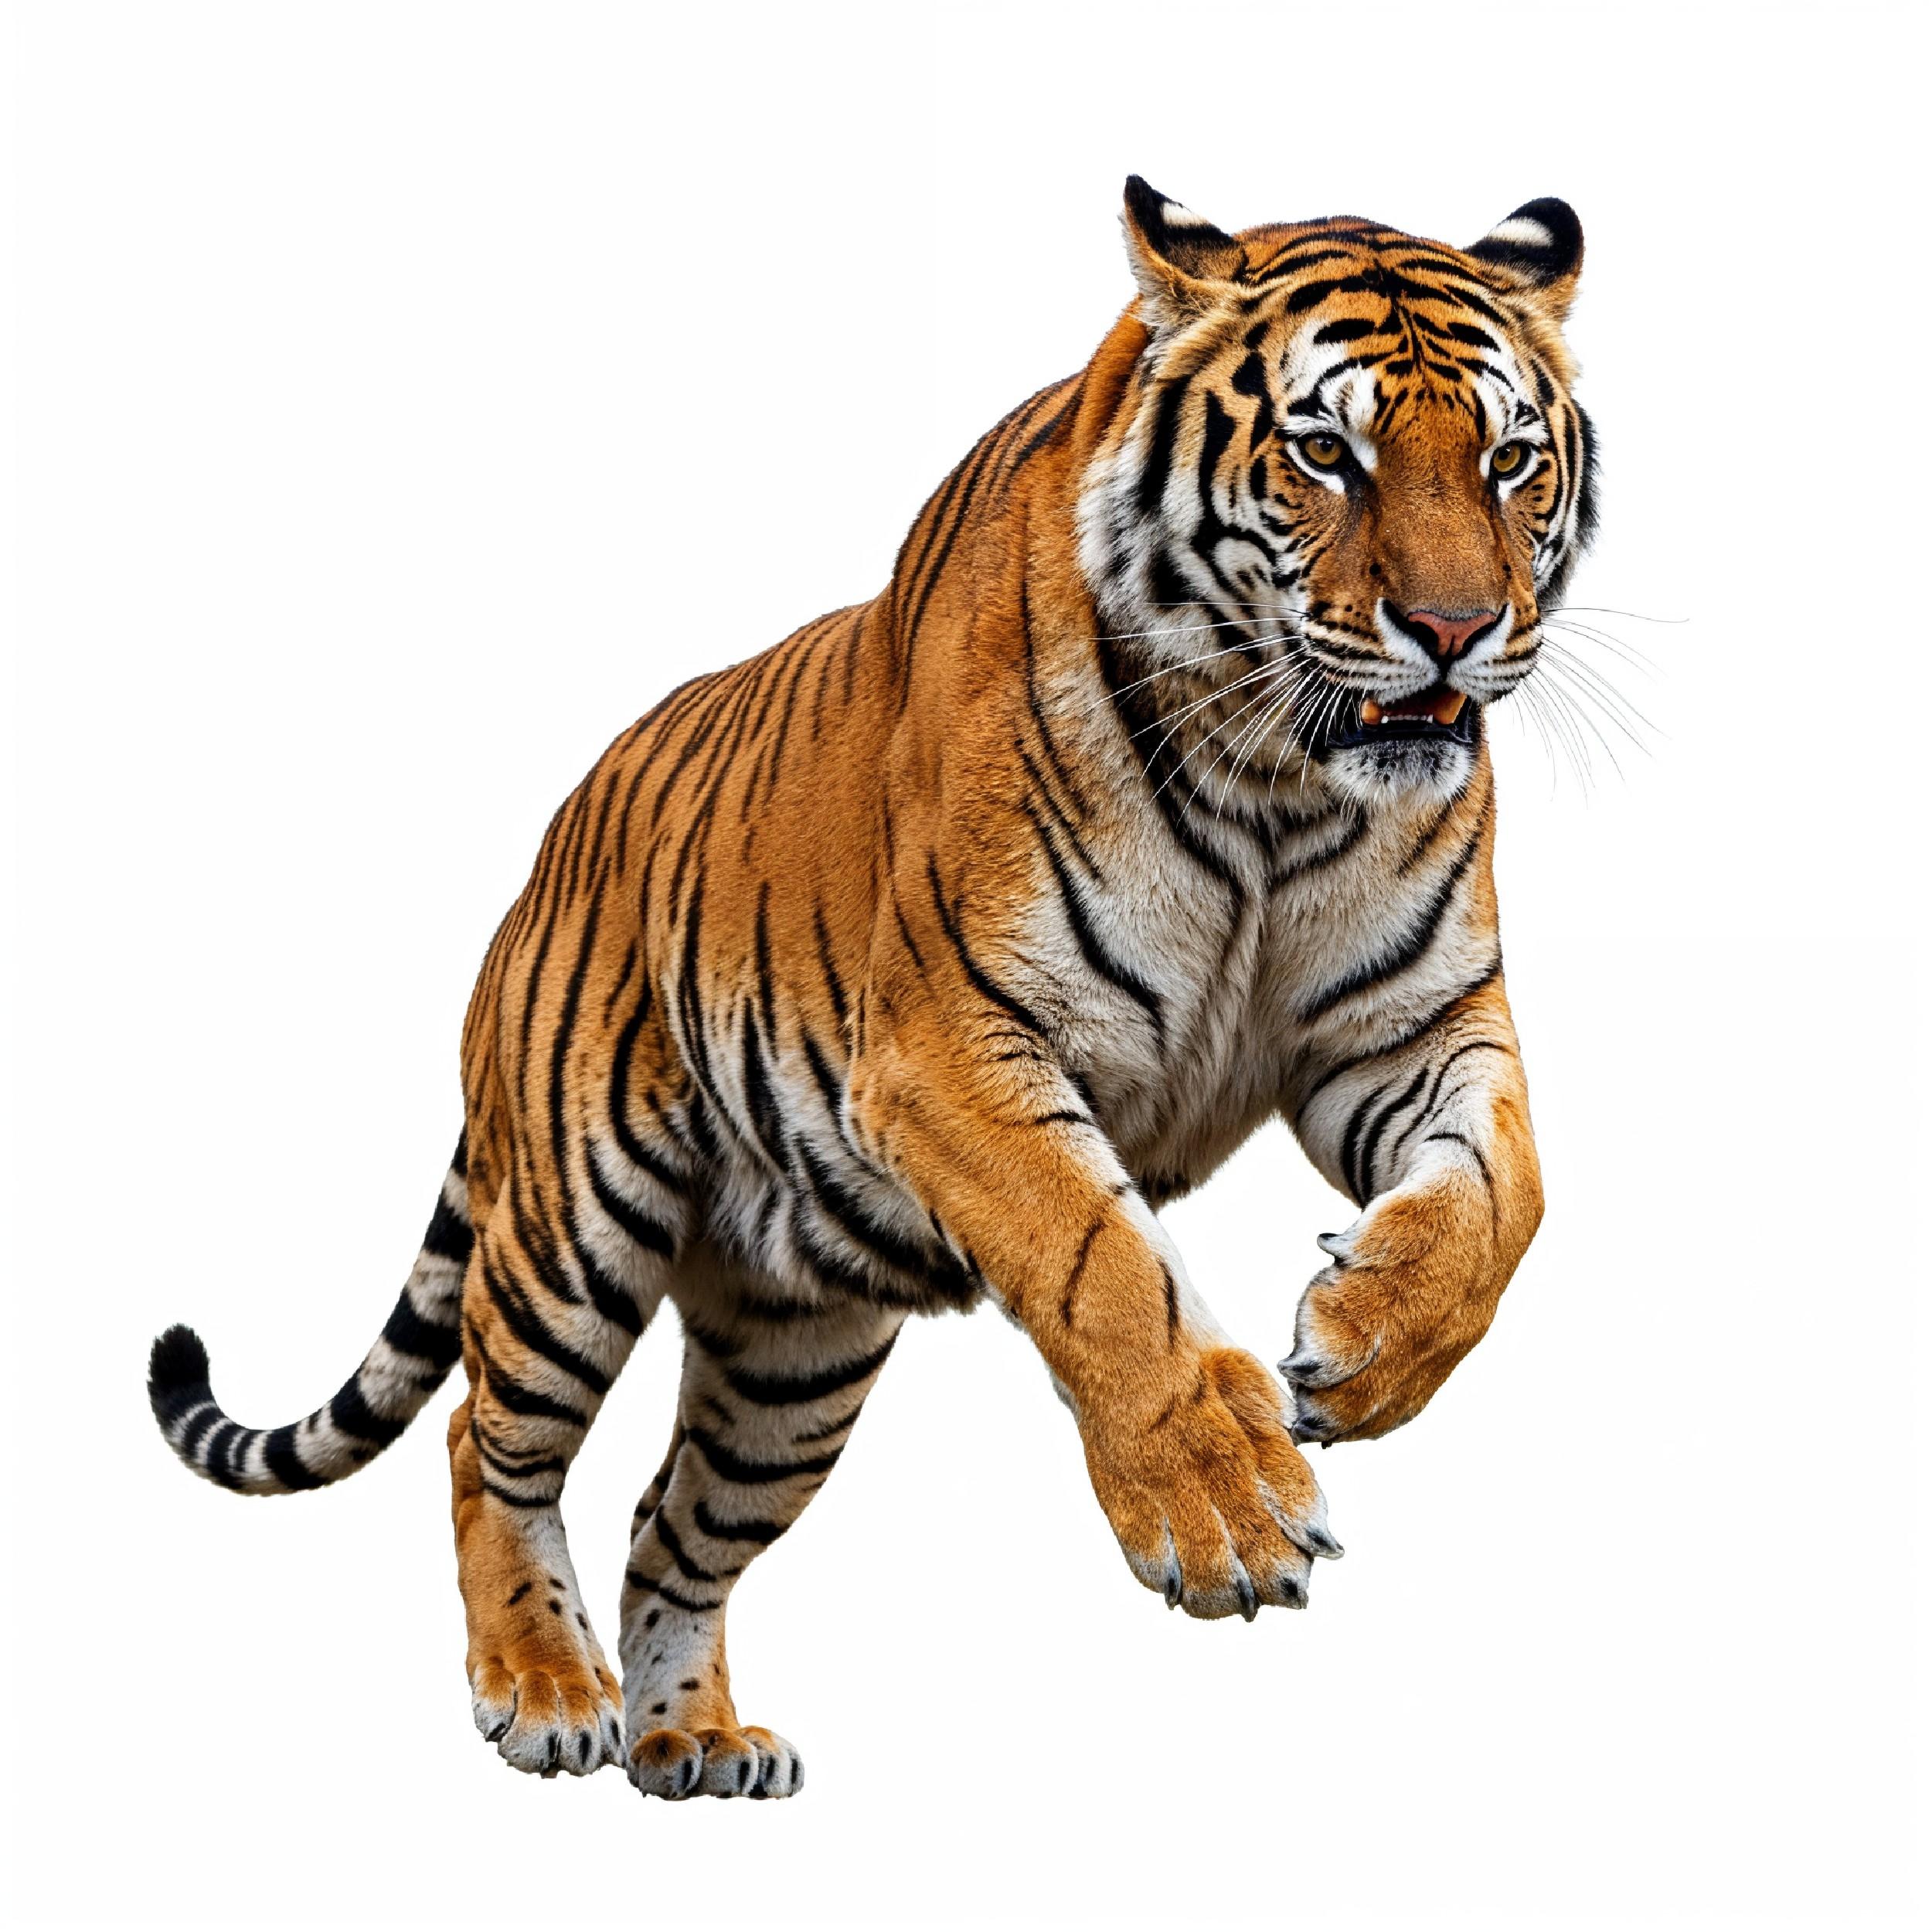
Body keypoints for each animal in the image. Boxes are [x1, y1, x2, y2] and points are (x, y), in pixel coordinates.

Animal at [148, 176, 1596, 1802]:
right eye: (1325, 453)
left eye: (1510, 458)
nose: (1457, 631)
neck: (1277, 787)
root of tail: (546, 854)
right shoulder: (951, 1045)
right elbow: (1102, 1262)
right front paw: (1222, 1506)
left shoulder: (1414, 1024)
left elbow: (1509, 1199)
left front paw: (1364, 1349)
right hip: (573, 1220)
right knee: (485, 1440)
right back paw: (543, 1689)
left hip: (794, 1355)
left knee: (675, 1519)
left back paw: (691, 1741)